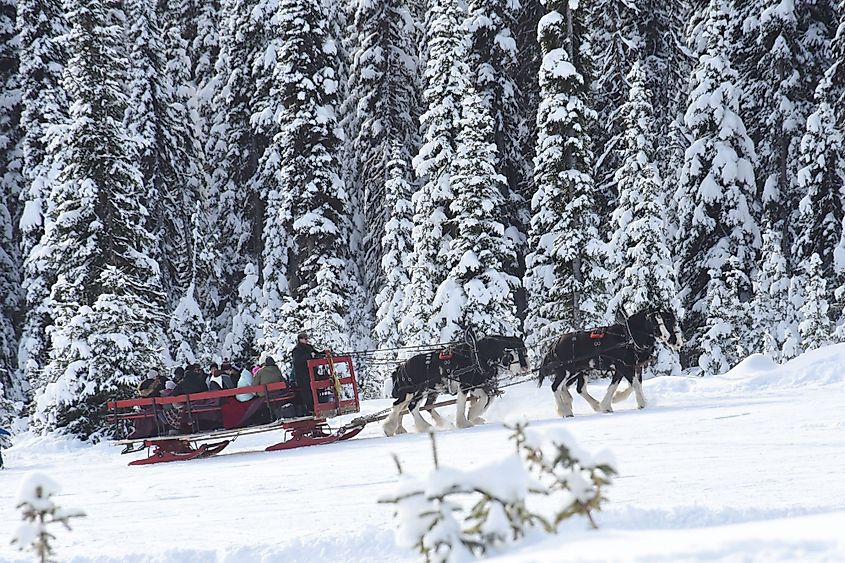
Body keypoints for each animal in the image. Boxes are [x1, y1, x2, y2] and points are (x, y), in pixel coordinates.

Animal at [382, 334, 528, 436]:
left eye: (525, 351)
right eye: (512, 354)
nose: (526, 368)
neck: (477, 356)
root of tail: (401, 367)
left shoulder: (474, 385)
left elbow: (485, 398)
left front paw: (474, 416)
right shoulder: (464, 385)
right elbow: (463, 403)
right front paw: (464, 422)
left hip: (428, 391)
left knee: (410, 407)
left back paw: (400, 428)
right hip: (417, 391)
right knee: (408, 406)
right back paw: (419, 427)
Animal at [536, 308, 684, 418]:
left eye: (671, 321)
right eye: (661, 320)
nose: (678, 343)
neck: (630, 337)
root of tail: (556, 342)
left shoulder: (629, 367)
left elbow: (624, 385)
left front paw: (610, 403)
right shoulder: (624, 367)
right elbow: (634, 384)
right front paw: (641, 404)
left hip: (578, 370)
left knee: (575, 388)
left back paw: (579, 405)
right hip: (566, 370)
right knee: (556, 387)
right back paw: (564, 411)